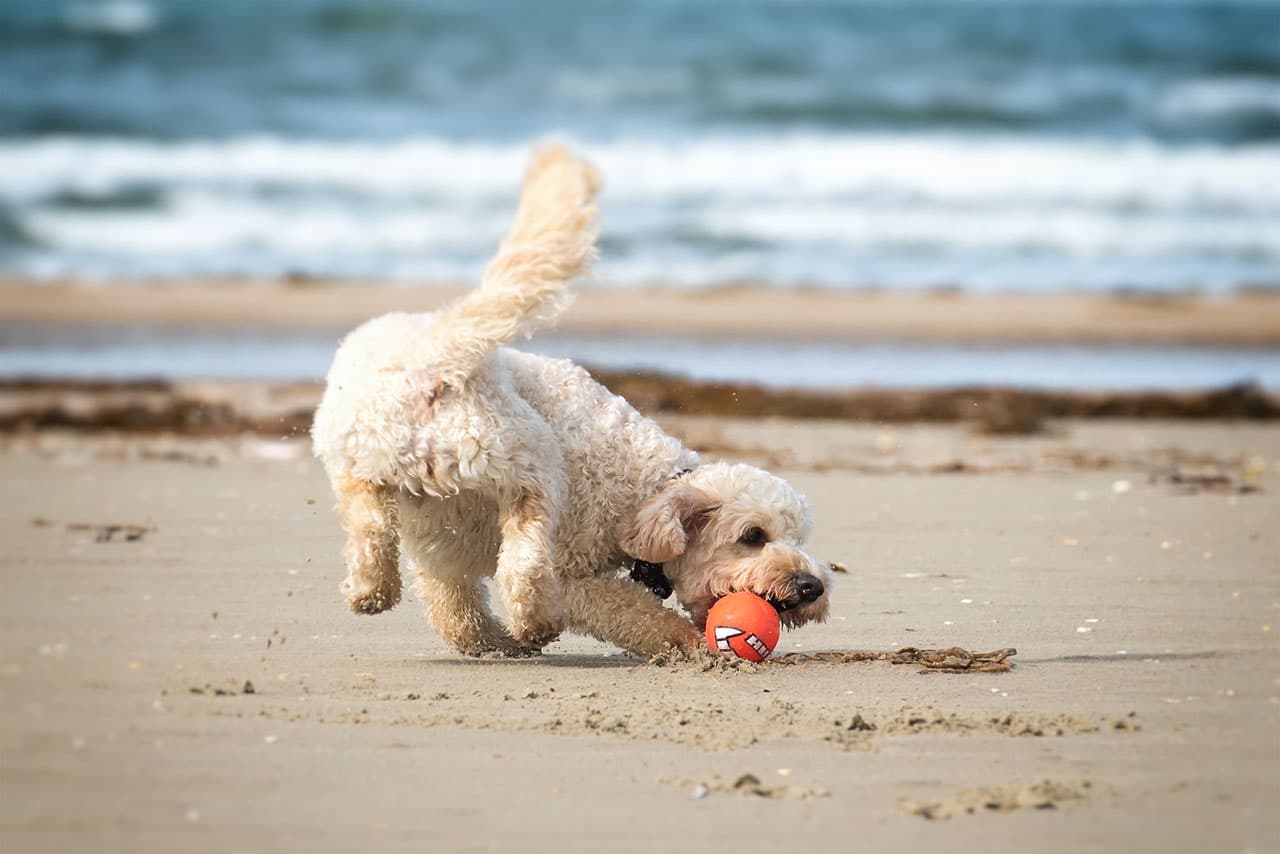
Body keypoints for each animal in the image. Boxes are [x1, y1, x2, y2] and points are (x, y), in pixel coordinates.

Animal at [309, 145, 829, 660]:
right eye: (752, 537)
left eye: (798, 537)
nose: (812, 586)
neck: (645, 491)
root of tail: (435, 356)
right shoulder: (575, 571)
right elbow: (635, 613)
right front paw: (687, 642)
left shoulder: (441, 547)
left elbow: (454, 608)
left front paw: (490, 642)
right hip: (529, 459)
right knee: (524, 558)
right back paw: (535, 621)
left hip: (361, 459)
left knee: (374, 526)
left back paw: (373, 590)